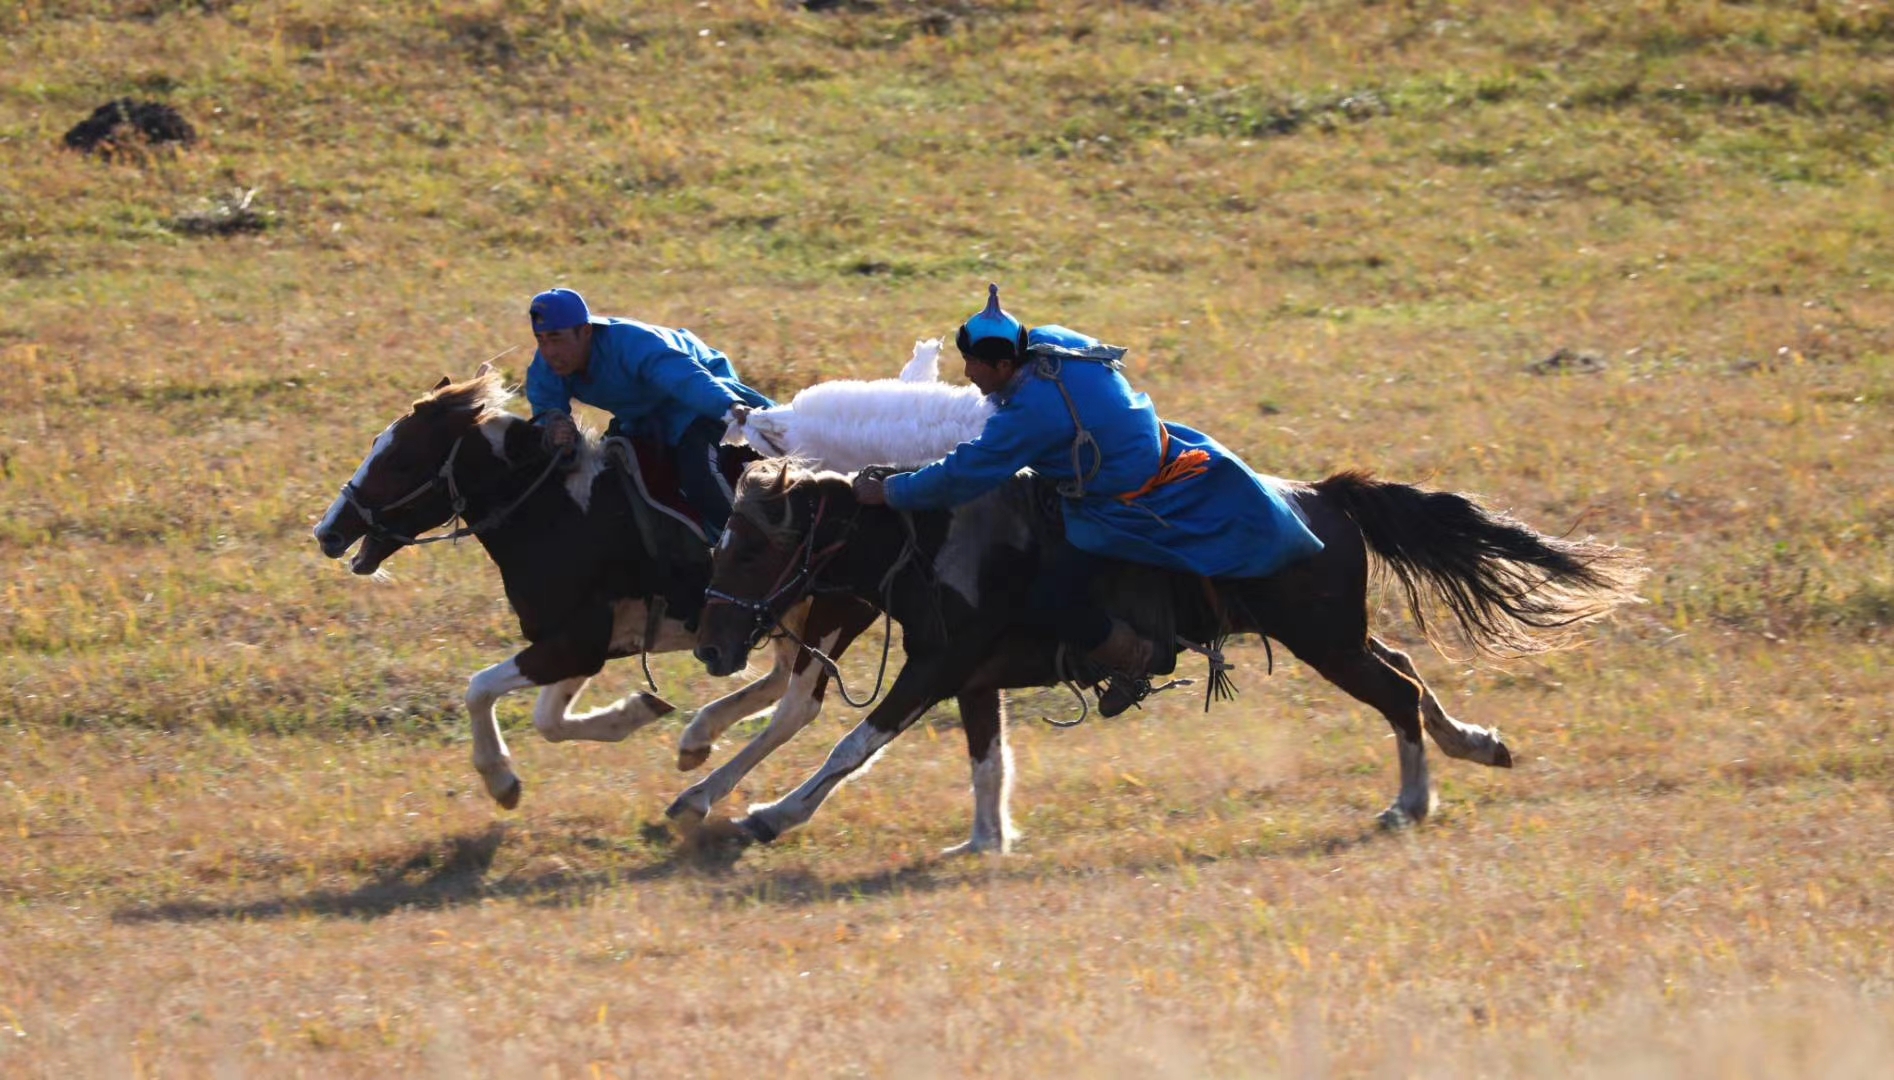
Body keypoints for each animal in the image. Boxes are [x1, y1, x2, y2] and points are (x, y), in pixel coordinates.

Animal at [693, 462, 1643, 848]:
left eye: (753, 548)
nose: (710, 645)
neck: (934, 543)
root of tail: (1324, 497)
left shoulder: (933, 670)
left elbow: (853, 746)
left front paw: (768, 815)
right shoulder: (970, 678)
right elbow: (986, 761)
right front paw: (984, 842)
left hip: (1324, 643)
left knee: (1396, 696)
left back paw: (1410, 803)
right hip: (1336, 635)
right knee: (1406, 675)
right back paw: (1475, 745)